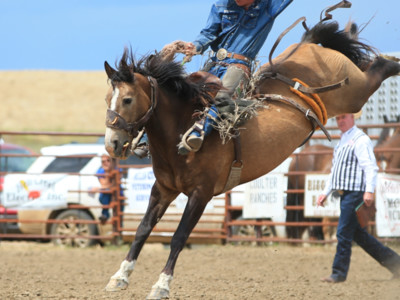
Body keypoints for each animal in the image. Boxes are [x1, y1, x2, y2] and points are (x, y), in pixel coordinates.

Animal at [102, 21, 396, 298]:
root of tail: (308, 44)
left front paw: (162, 285)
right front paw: (119, 277)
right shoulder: (163, 188)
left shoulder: (201, 194)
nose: (111, 143)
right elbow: (142, 229)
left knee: (376, 69)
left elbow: (179, 237)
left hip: (353, 91)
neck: (184, 128)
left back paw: (394, 63)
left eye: (127, 99)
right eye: (107, 98)